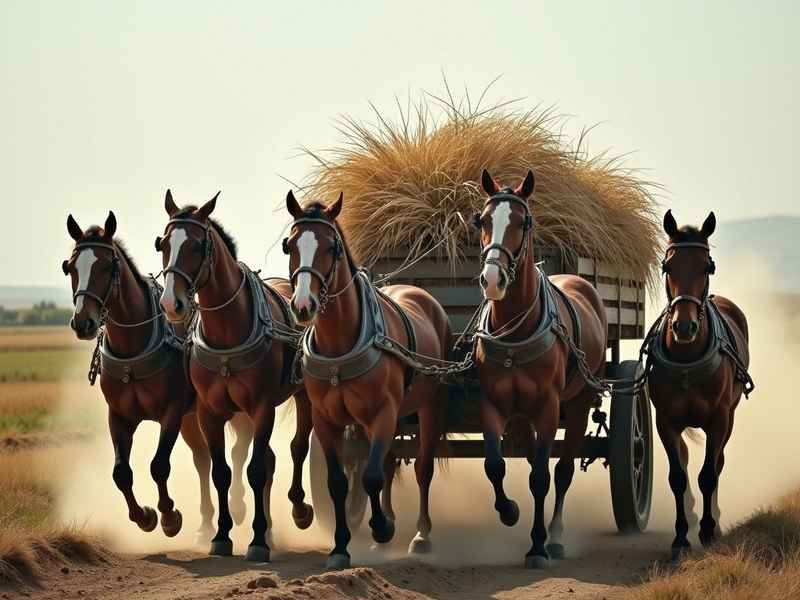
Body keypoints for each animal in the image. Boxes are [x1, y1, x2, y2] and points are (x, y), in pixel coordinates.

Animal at [62, 211, 253, 543]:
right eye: (71, 267)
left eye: (106, 266)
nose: (83, 322)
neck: (134, 348)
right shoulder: (119, 416)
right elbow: (121, 472)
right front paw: (144, 516)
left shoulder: (171, 412)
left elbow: (159, 465)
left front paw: (169, 516)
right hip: (193, 417)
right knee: (203, 459)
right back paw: (206, 523)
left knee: (239, 449)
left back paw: (238, 505)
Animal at [157, 190, 315, 562]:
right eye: (164, 244)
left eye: (197, 245)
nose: (171, 304)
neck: (228, 331)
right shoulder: (209, 412)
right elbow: (221, 472)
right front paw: (222, 535)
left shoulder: (262, 407)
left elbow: (255, 470)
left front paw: (257, 541)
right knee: (268, 459)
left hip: (302, 397)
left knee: (297, 448)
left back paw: (298, 510)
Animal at [283, 191, 452, 570]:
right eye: (290, 245)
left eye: (332, 247)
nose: (303, 305)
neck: (340, 346)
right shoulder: (327, 420)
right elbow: (339, 482)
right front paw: (341, 546)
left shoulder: (382, 413)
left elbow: (372, 476)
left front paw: (381, 528)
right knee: (387, 462)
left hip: (430, 407)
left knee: (422, 468)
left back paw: (420, 535)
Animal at [472, 169, 608, 568]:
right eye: (482, 220)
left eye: (523, 221)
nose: (492, 280)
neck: (517, 331)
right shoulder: (493, 404)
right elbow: (495, 465)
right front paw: (508, 511)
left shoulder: (548, 407)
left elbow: (542, 478)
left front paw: (537, 545)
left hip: (579, 403)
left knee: (562, 471)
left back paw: (557, 536)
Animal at [644, 210, 753, 560]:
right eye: (667, 266)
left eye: (708, 266)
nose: (684, 326)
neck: (687, 362)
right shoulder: (665, 421)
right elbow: (677, 476)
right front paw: (681, 536)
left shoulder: (718, 420)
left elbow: (708, 475)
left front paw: (707, 530)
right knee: (685, 458)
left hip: (729, 417)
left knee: (717, 464)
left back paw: (713, 520)